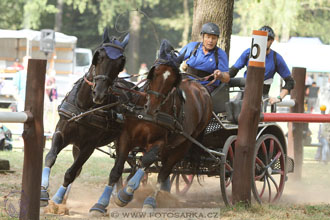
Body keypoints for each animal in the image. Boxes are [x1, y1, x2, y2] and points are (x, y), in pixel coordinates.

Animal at [40, 29, 130, 206]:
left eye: (120, 64)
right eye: (99, 56)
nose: (99, 93)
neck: (83, 107)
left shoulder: (89, 146)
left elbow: (71, 172)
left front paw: (57, 198)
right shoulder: (62, 132)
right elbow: (50, 157)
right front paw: (43, 191)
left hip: (126, 141)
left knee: (117, 170)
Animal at [90, 38, 213, 212]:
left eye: (172, 81)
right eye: (153, 73)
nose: (152, 107)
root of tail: (201, 87)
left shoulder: (159, 142)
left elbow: (146, 161)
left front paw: (126, 194)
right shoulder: (125, 137)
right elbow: (117, 169)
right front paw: (101, 203)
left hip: (184, 144)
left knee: (164, 172)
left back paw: (150, 200)